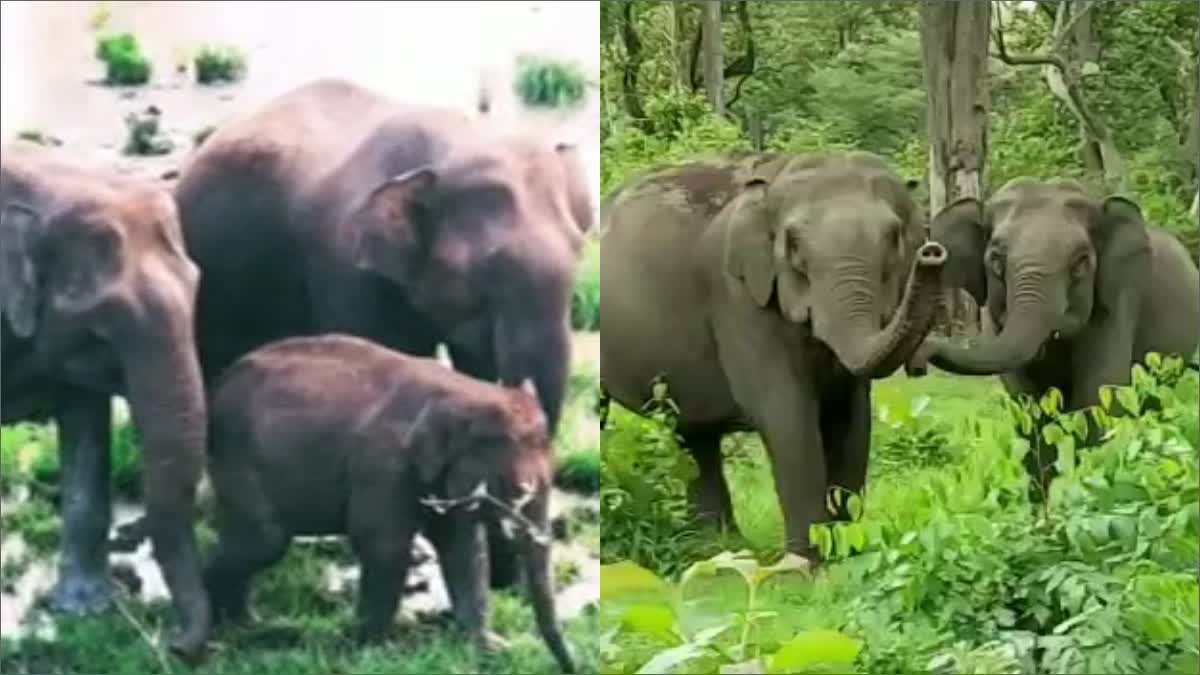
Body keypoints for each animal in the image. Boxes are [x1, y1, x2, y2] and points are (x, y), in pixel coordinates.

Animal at [199, 333, 573, 667]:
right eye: (518, 490)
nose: (571, 664)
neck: (462, 391)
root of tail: (219, 384)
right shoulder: (381, 467)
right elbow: (386, 547)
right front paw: (368, 652)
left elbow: (464, 548)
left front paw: (489, 648)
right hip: (236, 459)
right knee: (264, 540)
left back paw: (247, 624)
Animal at [600, 152, 945, 557]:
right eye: (793, 245)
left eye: (894, 237)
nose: (933, 253)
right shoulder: (738, 298)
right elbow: (786, 416)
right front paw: (804, 564)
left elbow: (852, 420)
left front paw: (846, 552)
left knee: (694, 435)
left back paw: (717, 547)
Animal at [907, 176, 1200, 482]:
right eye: (996, 260)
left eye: (1081, 262)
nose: (917, 362)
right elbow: (1030, 406)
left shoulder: (1119, 302)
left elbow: (1098, 394)